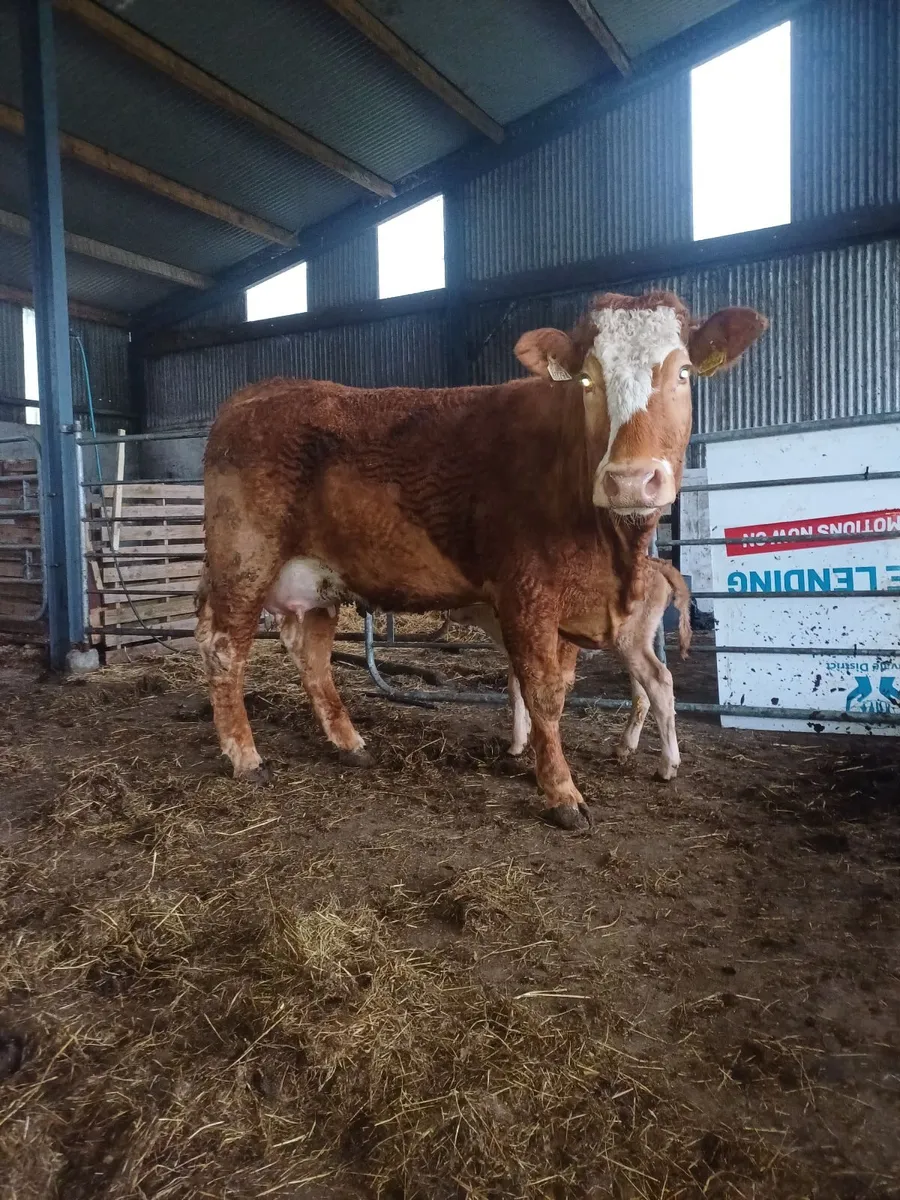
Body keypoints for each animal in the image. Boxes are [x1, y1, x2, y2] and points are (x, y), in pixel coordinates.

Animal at [448, 557, 692, 760]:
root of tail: (656, 563)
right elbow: (516, 690)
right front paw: (522, 738)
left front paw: (522, 743)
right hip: (632, 646)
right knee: (643, 691)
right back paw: (625, 746)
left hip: (631, 642)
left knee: (659, 680)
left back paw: (668, 765)